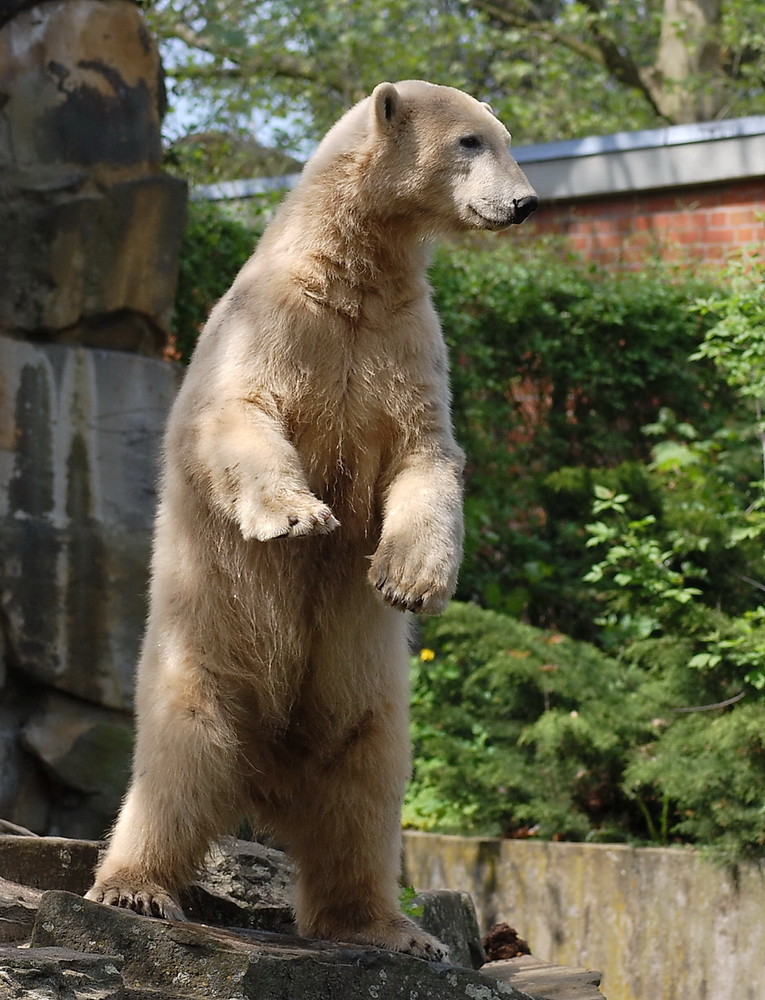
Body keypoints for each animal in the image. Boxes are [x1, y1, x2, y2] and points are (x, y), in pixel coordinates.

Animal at [88, 80, 536, 960]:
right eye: (470, 141)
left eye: (504, 138)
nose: (524, 202)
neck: (347, 276)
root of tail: (268, 780)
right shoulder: (274, 328)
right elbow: (238, 416)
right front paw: (299, 518)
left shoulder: (402, 342)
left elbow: (425, 459)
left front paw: (408, 581)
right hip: (201, 656)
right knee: (178, 762)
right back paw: (135, 887)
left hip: (365, 701)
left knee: (362, 800)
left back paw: (393, 928)